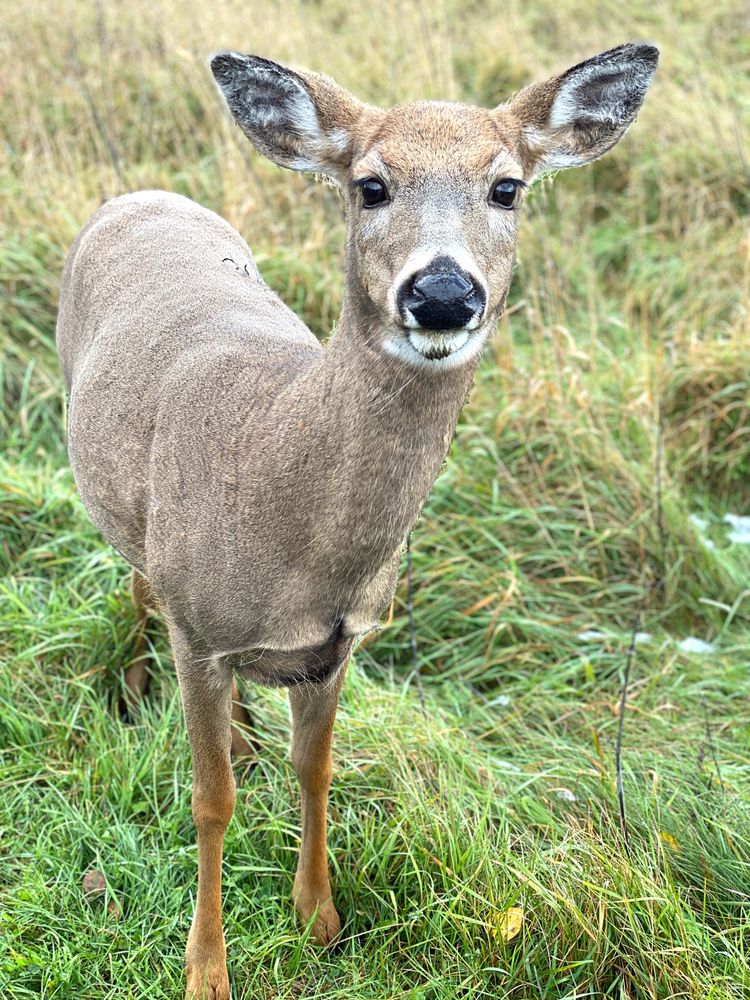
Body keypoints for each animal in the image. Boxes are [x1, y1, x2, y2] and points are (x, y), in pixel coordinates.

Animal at [55, 41, 658, 998]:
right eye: (370, 185)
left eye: (508, 187)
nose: (442, 293)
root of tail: (139, 193)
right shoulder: (201, 627)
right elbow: (210, 800)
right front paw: (206, 969)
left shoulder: (338, 644)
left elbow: (316, 769)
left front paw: (320, 919)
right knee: (137, 582)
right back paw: (149, 693)